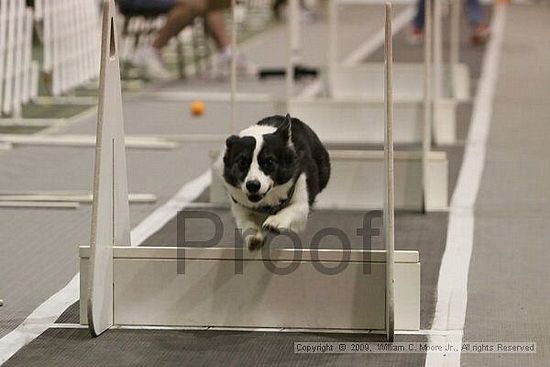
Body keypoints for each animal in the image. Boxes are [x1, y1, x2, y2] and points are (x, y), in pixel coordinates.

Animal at [220, 115, 332, 252]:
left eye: (269, 162)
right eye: (242, 162)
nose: (252, 185)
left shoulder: (301, 198)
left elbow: (293, 208)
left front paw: (275, 222)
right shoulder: (239, 204)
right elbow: (245, 221)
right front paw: (253, 237)